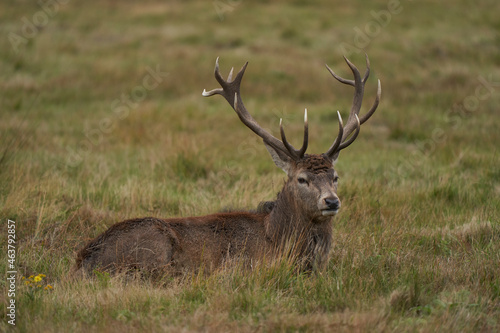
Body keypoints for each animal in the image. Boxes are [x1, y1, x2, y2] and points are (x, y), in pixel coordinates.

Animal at [73, 55, 378, 274]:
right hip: (153, 248)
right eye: (301, 179)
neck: (277, 238)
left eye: (335, 176)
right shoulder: (243, 266)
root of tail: (83, 260)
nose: (332, 201)